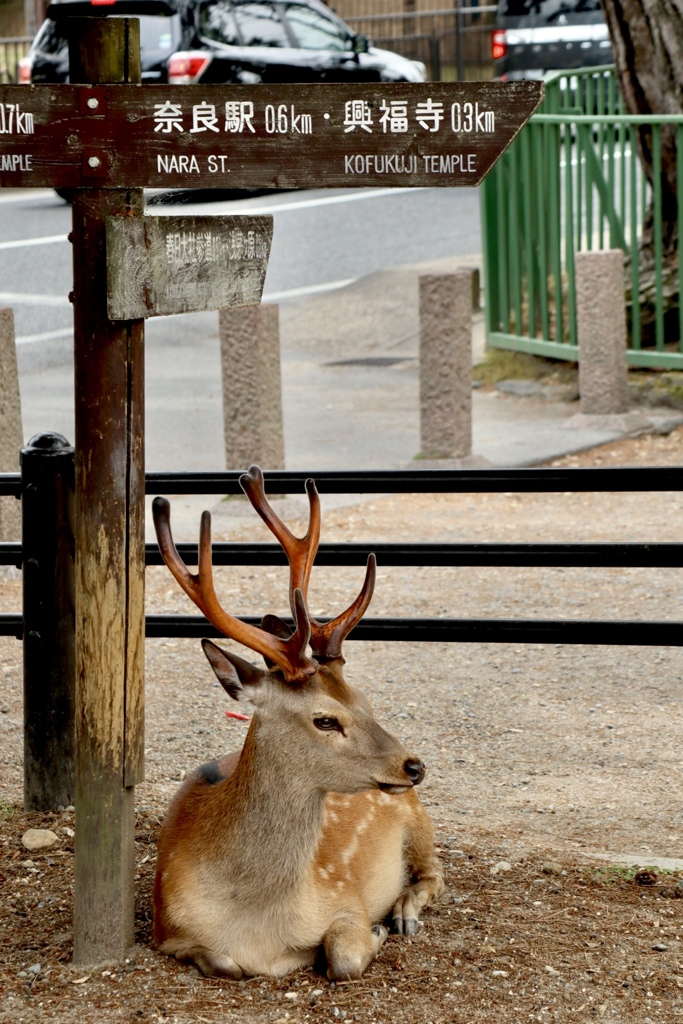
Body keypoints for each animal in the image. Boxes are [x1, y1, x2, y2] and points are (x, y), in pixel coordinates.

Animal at [151, 466, 444, 981]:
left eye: (365, 700)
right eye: (325, 719)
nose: (414, 766)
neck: (259, 927)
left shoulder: (344, 896)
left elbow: (345, 957)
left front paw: (377, 931)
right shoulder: (165, 929)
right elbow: (224, 963)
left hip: (417, 817)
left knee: (437, 871)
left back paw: (403, 913)